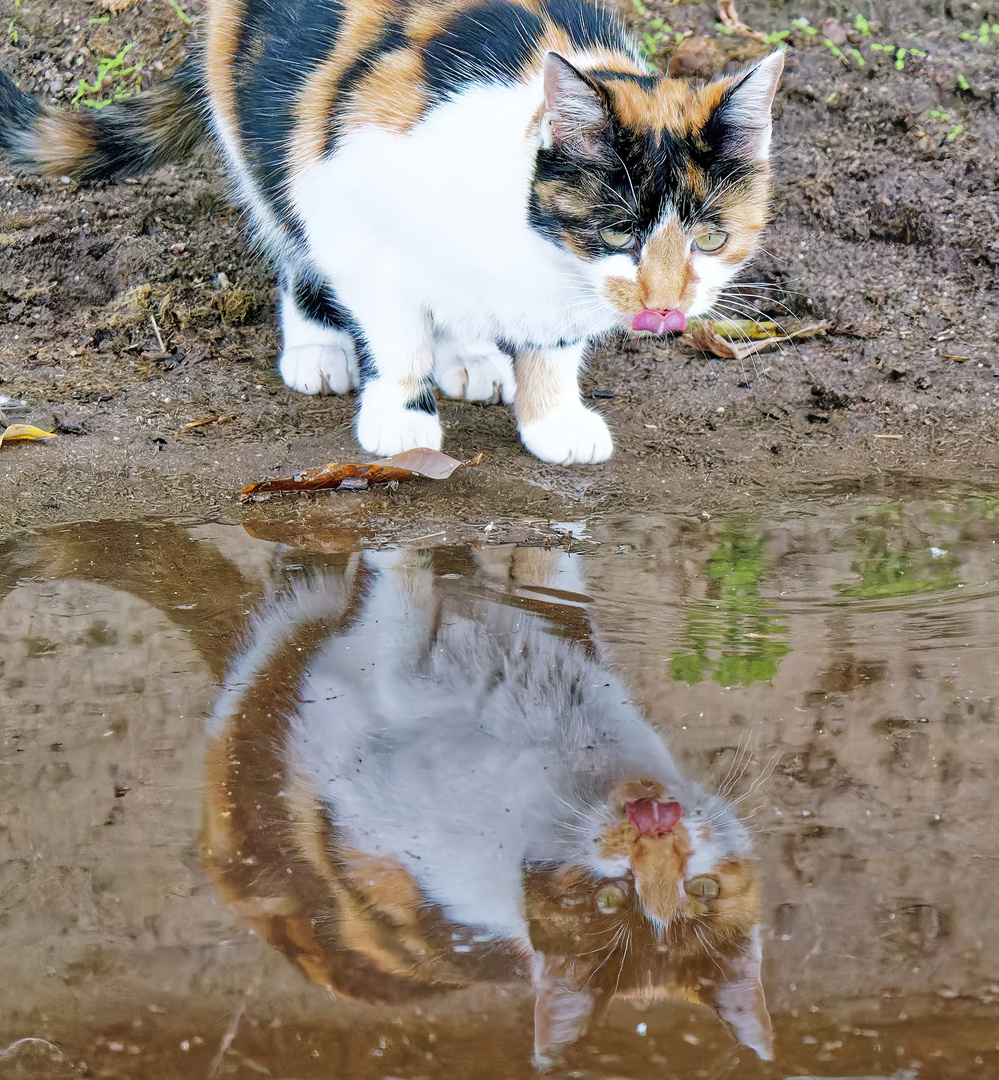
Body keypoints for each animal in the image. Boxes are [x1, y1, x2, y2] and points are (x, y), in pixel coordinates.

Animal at [0, 0, 777, 460]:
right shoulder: (352, 208)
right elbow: (398, 337)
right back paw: (318, 348)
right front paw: (403, 416)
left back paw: (471, 357)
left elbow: (551, 346)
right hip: (267, 138)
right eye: (617, 231)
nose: (665, 308)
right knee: (290, 237)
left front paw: (552, 419)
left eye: (710, 239)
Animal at [204, 548, 773, 1062]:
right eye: (610, 899)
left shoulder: (355, 698)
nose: (656, 829)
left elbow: (393, 598)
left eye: (701, 888)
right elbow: (547, 568)